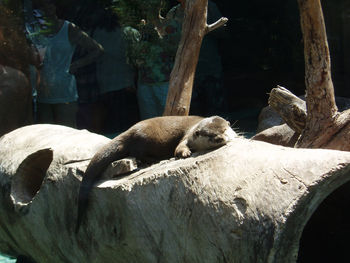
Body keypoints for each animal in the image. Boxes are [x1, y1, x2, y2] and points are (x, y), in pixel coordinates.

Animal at [75, 116, 237, 232]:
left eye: (225, 130)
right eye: (210, 135)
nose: (220, 138)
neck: (195, 128)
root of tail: (130, 130)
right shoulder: (188, 136)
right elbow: (179, 148)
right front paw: (185, 153)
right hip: (145, 137)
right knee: (137, 152)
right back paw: (152, 160)